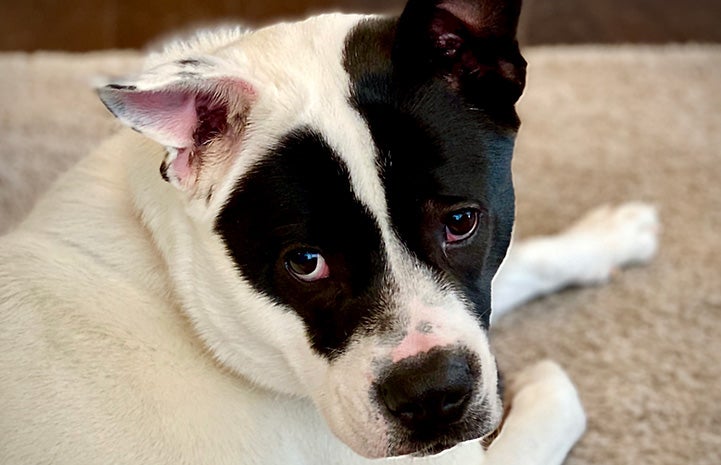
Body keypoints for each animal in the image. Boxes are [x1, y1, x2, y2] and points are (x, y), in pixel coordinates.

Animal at [0, 0, 656, 464]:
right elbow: (559, 402)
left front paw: (609, 235)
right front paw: (539, 381)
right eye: (305, 261)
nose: (431, 396)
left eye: (460, 222)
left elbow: (521, 261)